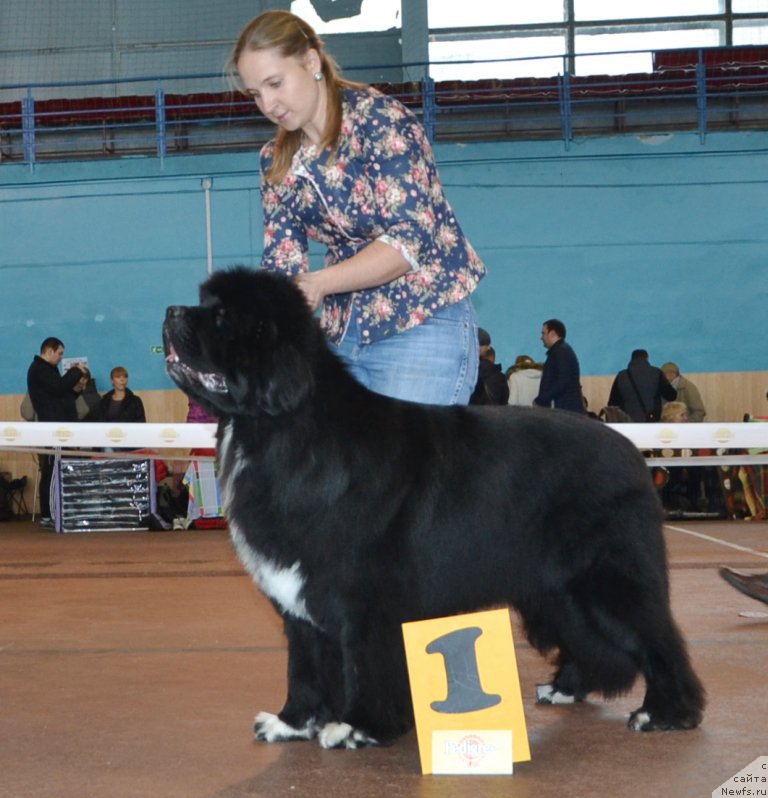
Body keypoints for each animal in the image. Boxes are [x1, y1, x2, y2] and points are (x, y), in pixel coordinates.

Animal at [162, 268, 704, 752]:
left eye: (224, 318)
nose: (170, 312)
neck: (281, 429)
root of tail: (631, 450)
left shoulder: (365, 597)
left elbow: (364, 662)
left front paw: (360, 727)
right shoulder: (300, 594)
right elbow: (304, 662)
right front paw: (291, 722)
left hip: (605, 579)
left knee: (657, 637)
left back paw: (666, 712)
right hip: (556, 589)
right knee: (592, 640)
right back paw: (566, 688)